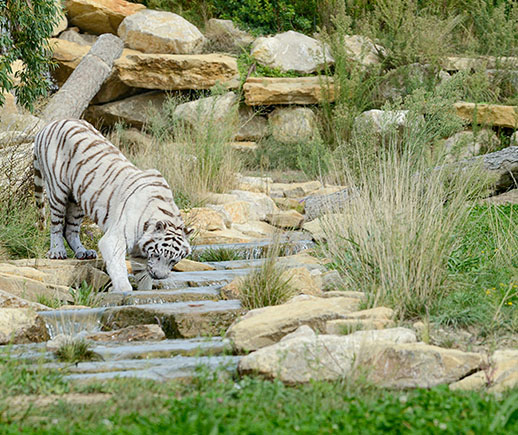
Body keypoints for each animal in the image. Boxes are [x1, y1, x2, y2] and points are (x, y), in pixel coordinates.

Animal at [33, 119, 194, 292]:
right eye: (157, 255)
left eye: (173, 260)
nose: (159, 276)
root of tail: (51, 124)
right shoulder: (114, 238)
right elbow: (118, 267)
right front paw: (124, 289)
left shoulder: (140, 252)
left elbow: (144, 276)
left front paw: (145, 291)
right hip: (57, 190)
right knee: (56, 225)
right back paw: (57, 251)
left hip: (77, 199)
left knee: (69, 229)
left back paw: (84, 252)